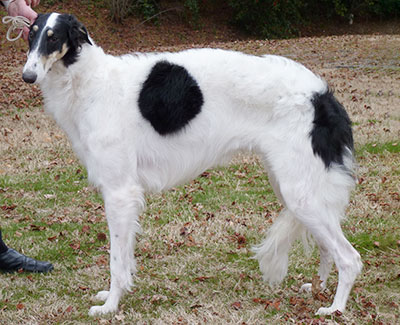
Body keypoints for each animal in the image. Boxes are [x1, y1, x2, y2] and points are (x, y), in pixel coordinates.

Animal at [21, 13, 362, 316]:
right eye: (31, 34)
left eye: (53, 37)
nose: (28, 76)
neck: (91, 83)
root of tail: (323, 96)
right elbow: (126, 258)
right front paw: (114, 296)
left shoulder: (120, 192)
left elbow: (117, 260)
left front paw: (110, 306)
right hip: (294, 188)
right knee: (328, 248)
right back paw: (318, 288)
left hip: (300, 193)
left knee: (350, 258)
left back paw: (335, 308)